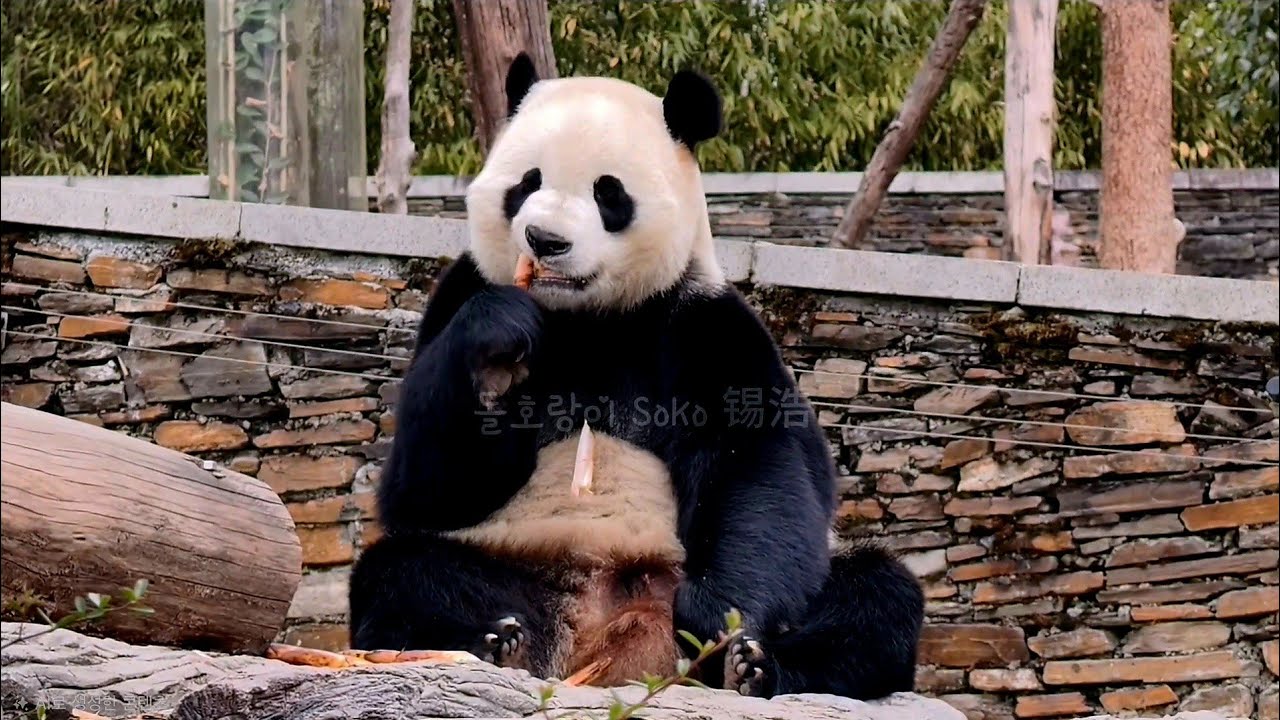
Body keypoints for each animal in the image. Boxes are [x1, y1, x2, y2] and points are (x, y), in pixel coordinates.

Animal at [348, 53, 925, 700]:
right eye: (527, 183)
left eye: (608, 193)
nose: (545, 240)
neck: (586, 320)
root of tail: (605, 642)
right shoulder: (458, 294)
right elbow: (423, 491)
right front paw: (499, 345)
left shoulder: (702, 325)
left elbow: (761, 464)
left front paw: (720, 617)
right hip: (512, 565)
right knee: (401, 573)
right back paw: (492, 641)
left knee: (876, 593)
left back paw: (750, 666)